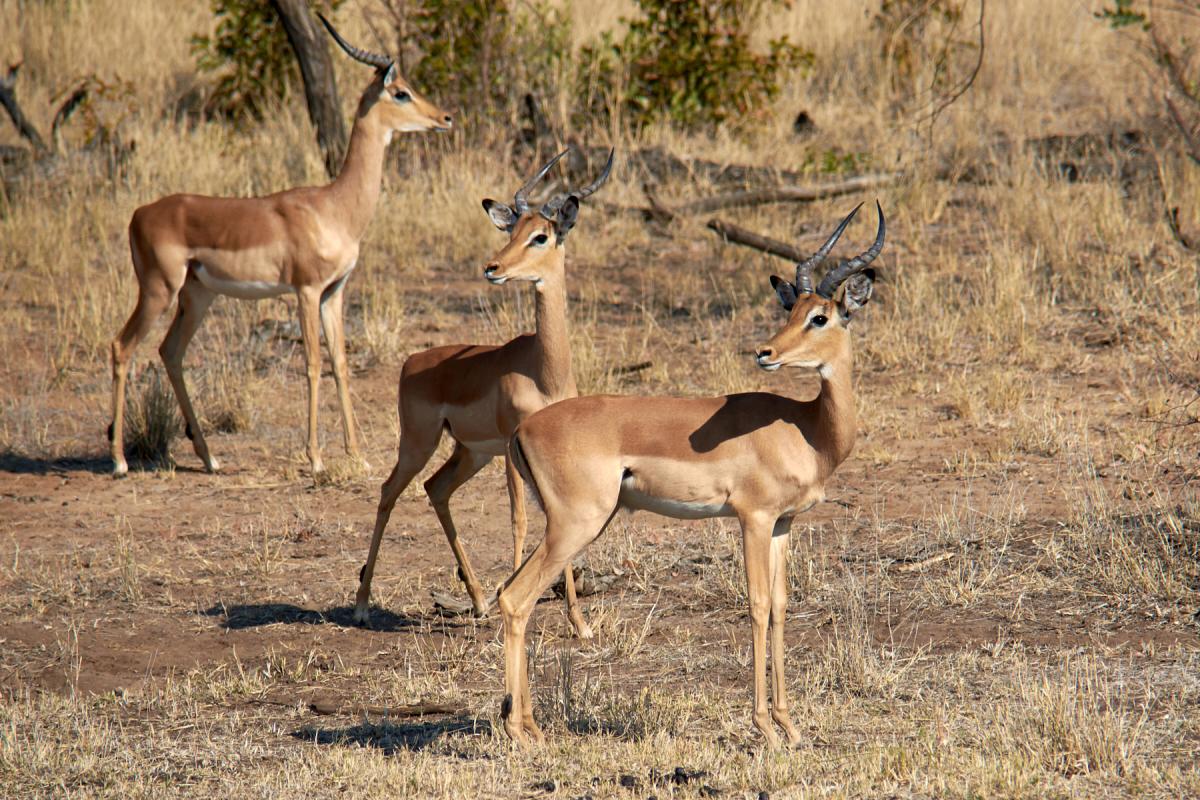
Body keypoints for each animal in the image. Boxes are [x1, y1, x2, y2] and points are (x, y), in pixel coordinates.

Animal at [107, 16, 452, 478]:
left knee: (170, 351)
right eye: (401, 91)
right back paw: (119, 461)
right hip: (159, 290)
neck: (334, 206)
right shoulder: (306, 291)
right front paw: (317, 458)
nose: (445, 117)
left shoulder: (334, 293)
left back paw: (210, 458)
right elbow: (313, 365)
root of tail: (140, 213)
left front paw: (356, 455)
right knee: (122, 347)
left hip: (197, 295)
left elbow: (341, 364)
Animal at [352, 148, 614, 638]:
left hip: (471, 453)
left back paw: (477, 602)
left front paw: (579, 622)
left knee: (436, 488)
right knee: (388, 491)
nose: (492, 268)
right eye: (511, 230)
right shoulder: (514, 446)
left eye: (541, 236)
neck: (544, 372)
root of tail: (412, 360)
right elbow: (519, 520)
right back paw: (361, 605)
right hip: (419, 443)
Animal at [496, 203, 886, 747]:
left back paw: (529, 723)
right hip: (576, 524)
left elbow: (781, 606)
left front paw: (790, 725)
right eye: (794, 312)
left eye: (818, 316)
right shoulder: (753, 518)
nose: (765, 352)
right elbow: (757, 605)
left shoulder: (783, 524)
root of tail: (524, 427)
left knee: (510, 593)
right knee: (516, 599)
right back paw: (521, 732)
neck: (807, 429)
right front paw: (765, 728)